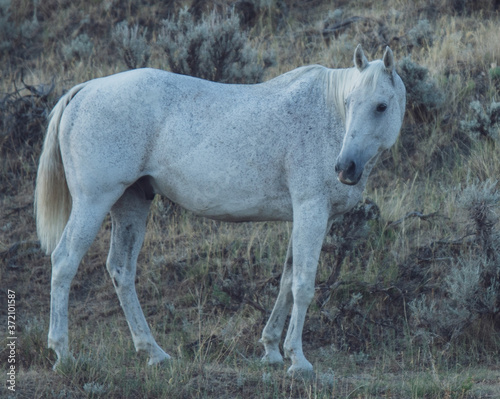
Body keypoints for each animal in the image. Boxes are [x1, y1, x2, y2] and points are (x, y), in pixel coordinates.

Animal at [37, 44, 406, 376]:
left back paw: (154, 353)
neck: (326, 116)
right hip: (93, 201)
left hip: (131, 204)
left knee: (121, 270)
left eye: (381, 106)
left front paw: (272, 350)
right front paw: (298, 360)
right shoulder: (311, 210)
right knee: (65, 261)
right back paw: (63, 354)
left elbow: (286, 280)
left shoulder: (305, 217)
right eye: (348, 102)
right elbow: (302, 286)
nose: (345, 168)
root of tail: (85, 90)